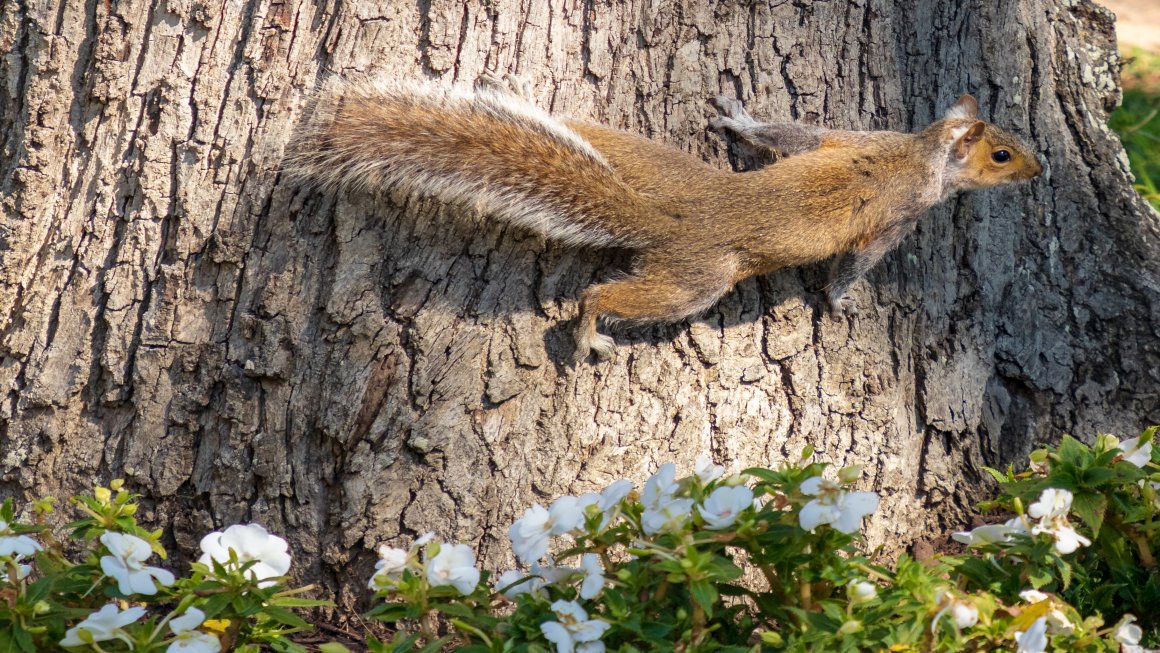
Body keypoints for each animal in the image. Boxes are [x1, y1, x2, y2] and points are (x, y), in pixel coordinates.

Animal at [287, 77, 1044, 361]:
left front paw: (739, 120)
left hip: (649, 162)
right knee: (603, 294)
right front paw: (841, 301)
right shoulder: (900, 213)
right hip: (695, 281)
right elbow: (858, 262)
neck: (920, 151)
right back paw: (590, 333)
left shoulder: (844, 138)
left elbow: (791, 134)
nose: (1039, 172)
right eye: (1003, 154)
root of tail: (664, 216)